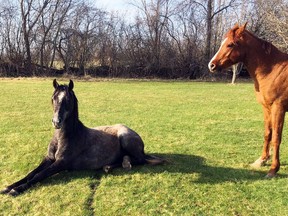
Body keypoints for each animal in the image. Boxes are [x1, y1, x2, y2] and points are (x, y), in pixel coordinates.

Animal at [1, 79, 164, 196]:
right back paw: (110, 166)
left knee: (140, 160)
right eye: (53, 98)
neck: (64, 137)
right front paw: (9, 187)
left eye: (68, 100)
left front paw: (17, 190)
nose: (56, 122)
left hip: (125, 138)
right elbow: (31, 173)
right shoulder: (48, 159)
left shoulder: (61, 163)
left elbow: (39, 175)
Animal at [208, 22, 288, 177]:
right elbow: (268, 134)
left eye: (230, 44)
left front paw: (273, 169)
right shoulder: (267, 108)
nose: (211, 65)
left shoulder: (278, 109)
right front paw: (262, 160)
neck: (273, 70)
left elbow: (276, 137)